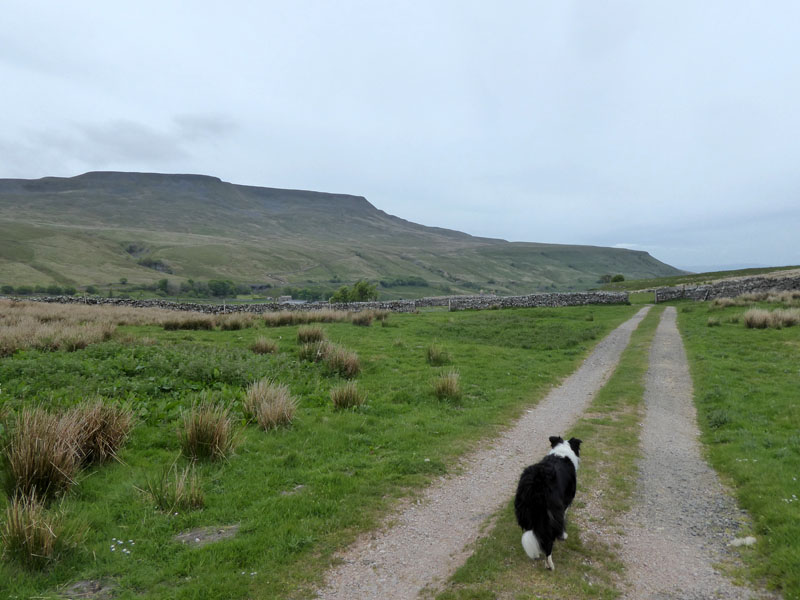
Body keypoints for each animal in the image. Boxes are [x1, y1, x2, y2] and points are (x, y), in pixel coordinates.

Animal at [512, 434, 580, 568]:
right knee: (548, 539)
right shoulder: (565, 503)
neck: (562, 451)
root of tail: (535, 483)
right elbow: (562, 521)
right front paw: (563, 536)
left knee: (534, 533)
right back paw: (550, 565)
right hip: (550, 512)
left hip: (526, 510)